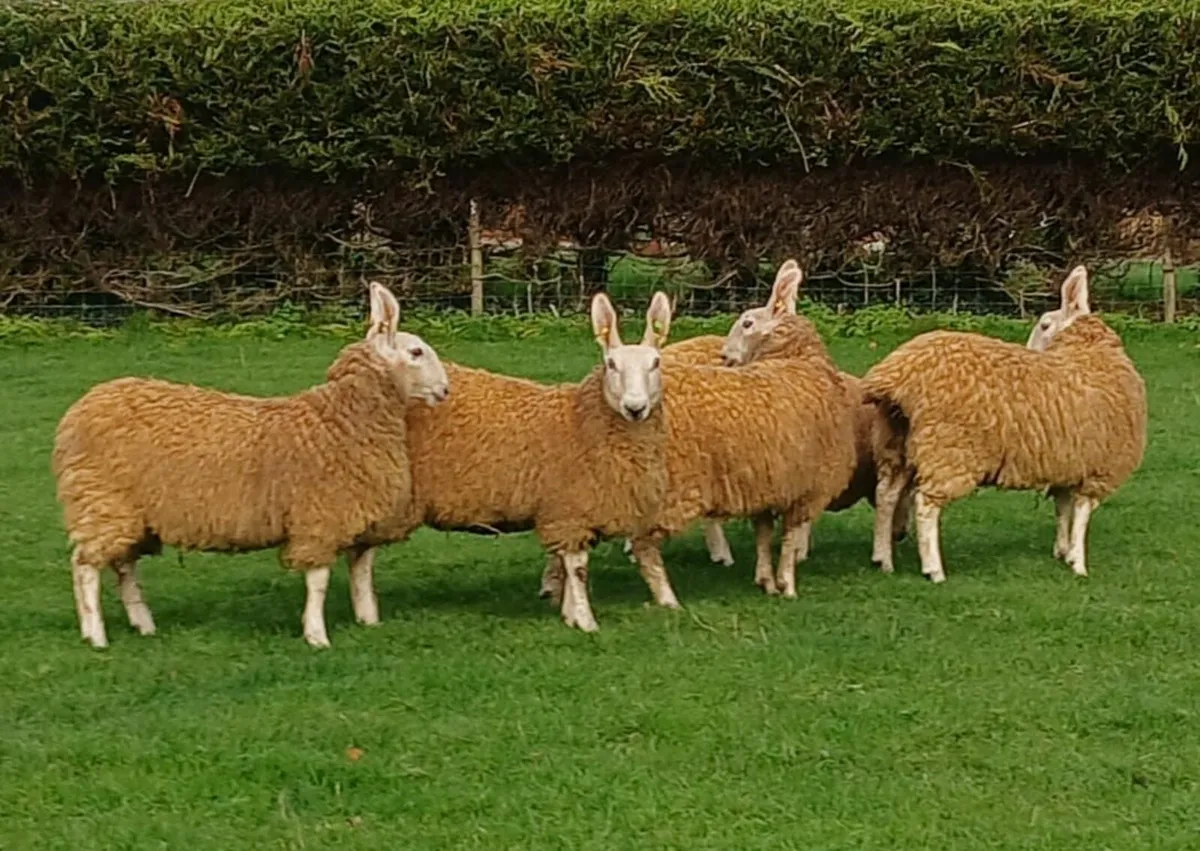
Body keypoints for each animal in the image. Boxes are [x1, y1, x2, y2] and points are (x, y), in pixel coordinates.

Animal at [52, 283, 449, 649]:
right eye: (416, 352)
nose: (444, 390)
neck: (337, 421)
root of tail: (80, 409)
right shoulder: (319, 517)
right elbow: (319, 581)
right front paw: (316, 636)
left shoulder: (350, 516)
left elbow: (361, 572)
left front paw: (367, 621)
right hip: (101, 500)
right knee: (84, 567)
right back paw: (95, 635)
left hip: (126, 512)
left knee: (123, 565)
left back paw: (142, 624)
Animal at [350, 292, 673, 633]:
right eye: (611, 364)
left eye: (656, 363)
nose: (635, 407)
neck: (578, 421)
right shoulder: (570, 510)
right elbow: (578, 568)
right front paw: (586, 622)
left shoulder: (565, 512)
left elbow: (566, 564)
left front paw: (569, 615)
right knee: (362, 554)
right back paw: (367, 615)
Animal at [860, 265, 1148, 581]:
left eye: (1044, 325)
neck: (1088, 354)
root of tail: (898, 374)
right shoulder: (1100, 467)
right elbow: (1082, 514)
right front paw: (1078, 562)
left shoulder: (1069, 463)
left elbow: (1064, 509)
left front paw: (1062, 551)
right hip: (948, 449)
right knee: (925, 504)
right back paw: (934, 569)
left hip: (897, 443)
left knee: (886, 494)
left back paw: (883, 558)